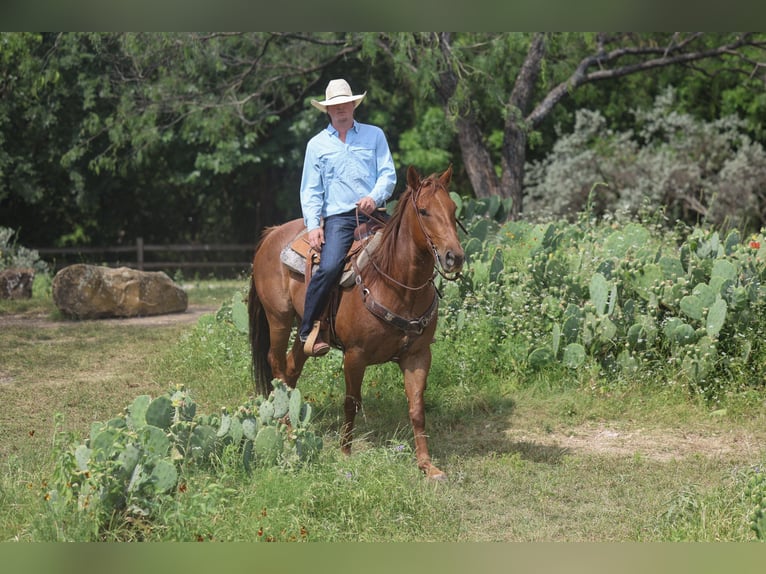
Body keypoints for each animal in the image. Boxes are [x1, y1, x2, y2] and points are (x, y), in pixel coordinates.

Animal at [247, 165, 464, 479]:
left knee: (291, 366)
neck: (396, 283)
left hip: (306, 330)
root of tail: (272, 233)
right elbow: (351, 403)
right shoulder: (355, 355)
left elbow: (417, 409)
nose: (454, 257)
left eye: (452, 208)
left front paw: (427, 465)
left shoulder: (418, 355)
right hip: (278, 318)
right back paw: (286, 429)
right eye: (423, 211)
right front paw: (345, 453)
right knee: (276, 364)